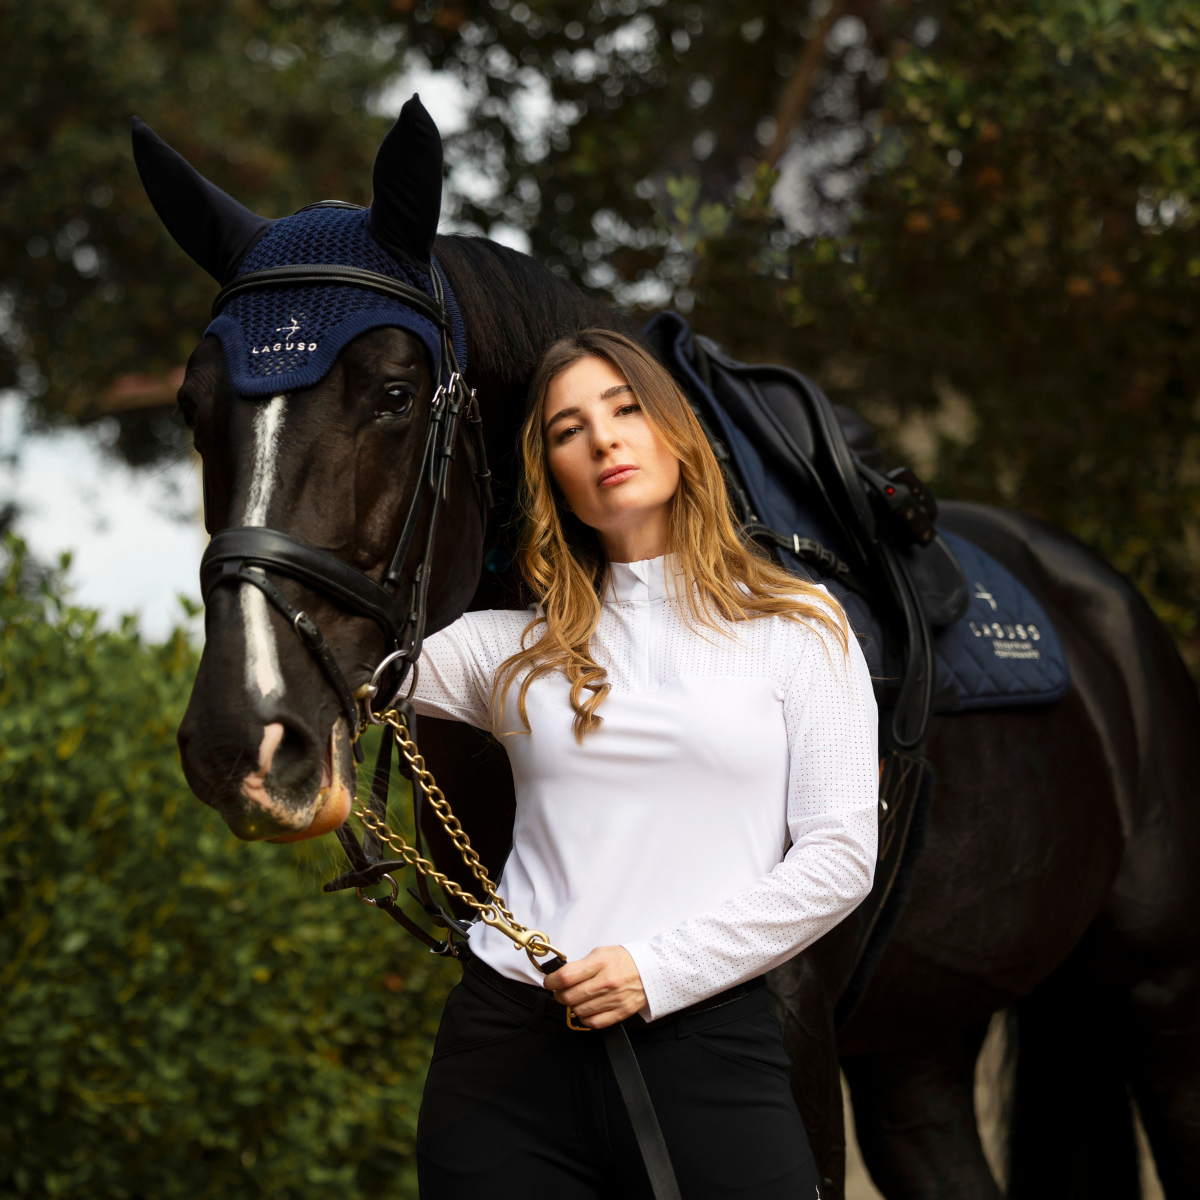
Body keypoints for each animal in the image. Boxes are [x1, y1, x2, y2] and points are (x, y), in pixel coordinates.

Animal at [136, 100, 1200, 1198]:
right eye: (191, 406)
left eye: (393, 393)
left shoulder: (793, 1039)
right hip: (920, 1048)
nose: (245, 736)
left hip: (1161, 998)